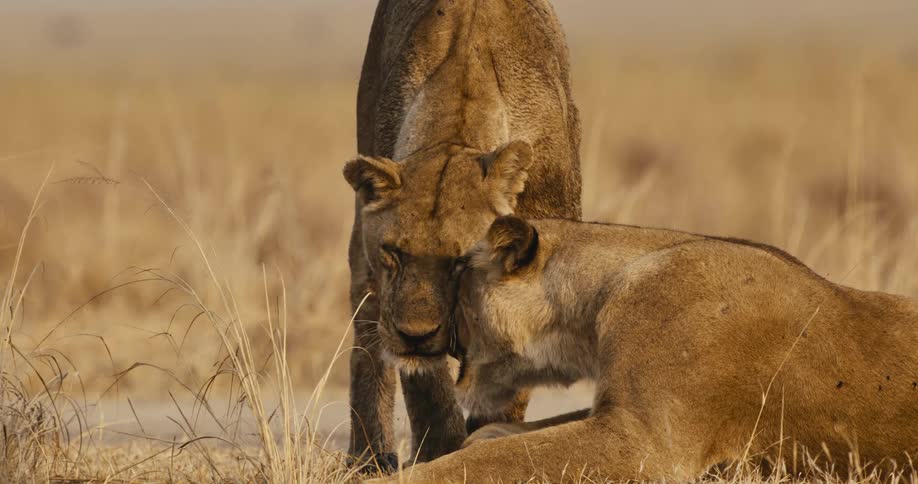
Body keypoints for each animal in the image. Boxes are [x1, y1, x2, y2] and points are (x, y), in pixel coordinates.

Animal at [344, 0, 581, 469]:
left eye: (461, 261)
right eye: (393, 252)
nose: (415, 335)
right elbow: (428, 391)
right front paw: (440, 452)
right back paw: (369, 457)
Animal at [370, 215, 918, 482]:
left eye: (459, 273)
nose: (420, 331)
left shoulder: (642, 442)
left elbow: (483, 462)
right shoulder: (616, 410)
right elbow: (498, 439)